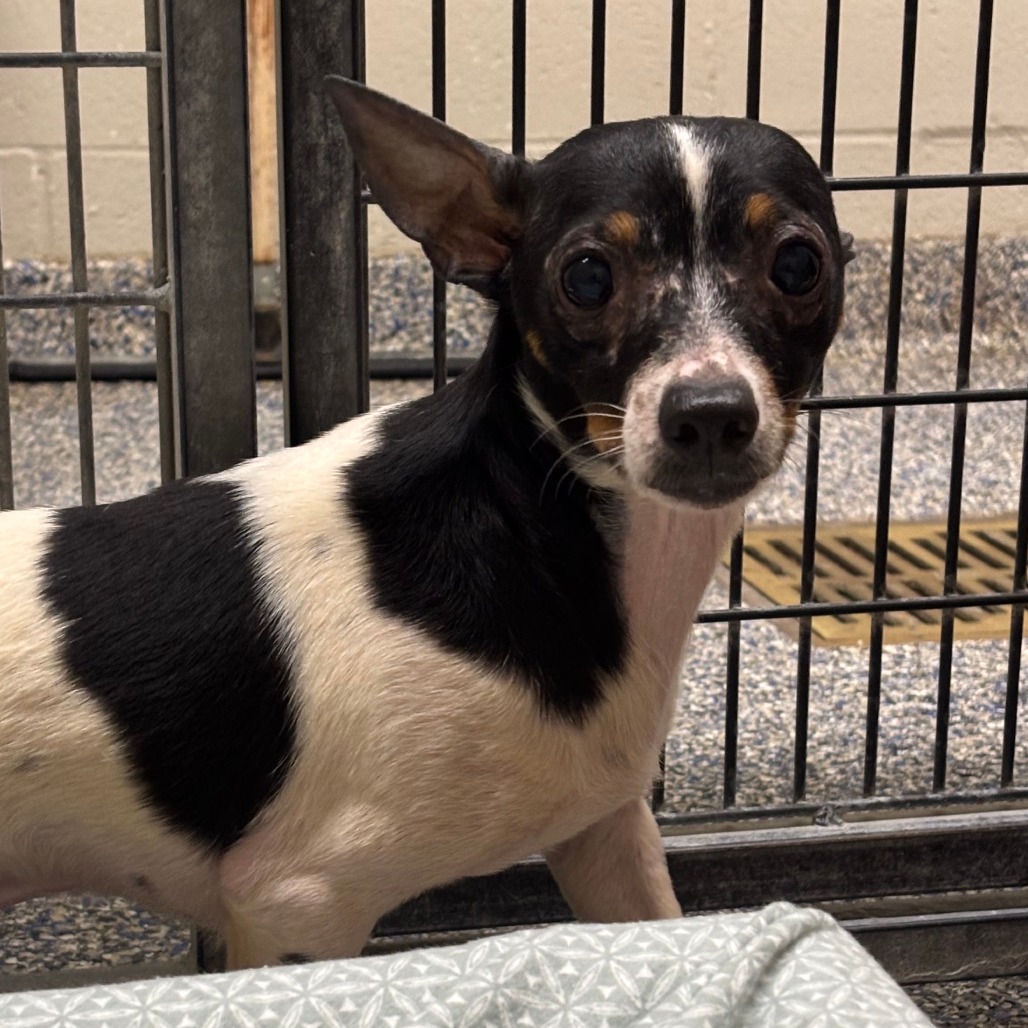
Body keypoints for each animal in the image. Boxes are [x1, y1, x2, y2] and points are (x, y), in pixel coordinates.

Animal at [0, 78, 851, 969]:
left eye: (798, 265)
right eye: (586, 277)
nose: (711, 411)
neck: (533, 527)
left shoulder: (604, 835)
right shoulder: (296, 909)